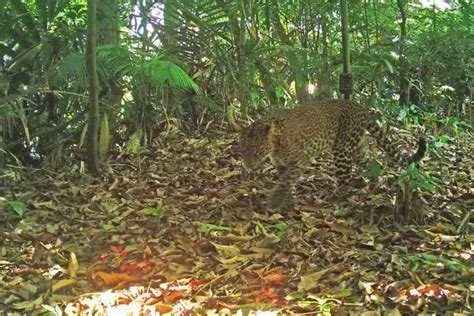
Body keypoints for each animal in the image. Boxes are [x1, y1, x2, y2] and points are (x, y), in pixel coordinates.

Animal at [239, 99, 428, 210]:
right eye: (243, 150)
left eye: (256, 151)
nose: (248, 165)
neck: (276, 144)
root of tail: (362, 108)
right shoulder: (281, 164)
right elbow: (285, 180)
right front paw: (289, 199)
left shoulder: (300, 160)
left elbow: (286, 180)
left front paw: (275, 201)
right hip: (358, 148)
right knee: (373, 164)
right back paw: (375, 184)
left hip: (341, 149)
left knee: (346, 179)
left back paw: (335, 197)